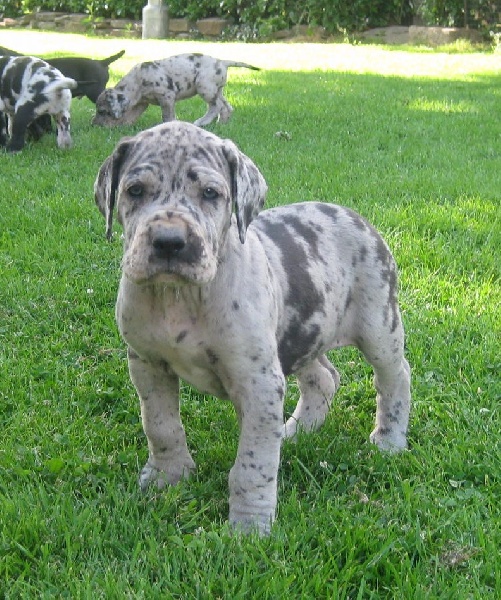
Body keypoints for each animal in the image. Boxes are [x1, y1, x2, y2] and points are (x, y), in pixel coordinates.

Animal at [92, 53, 259, 128]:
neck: (137, 81)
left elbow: (167, 116)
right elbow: (131, 115)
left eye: (102, 111)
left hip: (204, 86)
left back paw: (202, 122)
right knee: (226, 107)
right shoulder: (142, 103)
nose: (94, 125)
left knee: (215, 106)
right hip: (217, 91)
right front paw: (124, 125)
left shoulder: (166, 96)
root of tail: (222, 62)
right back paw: (221, 123)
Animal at [94, 122, 411, 534]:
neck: (180, 297)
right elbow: (160, 426)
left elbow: (253, 463)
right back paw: (296, 430)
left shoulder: (258, 381)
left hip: (377, 325)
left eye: (210, 193)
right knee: (323, 378)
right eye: (135, 190)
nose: (169, 243)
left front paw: (248, 527)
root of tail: (353, 215)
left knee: (395, 376)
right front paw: (168, 476)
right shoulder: (148, 365)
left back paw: (389, 440)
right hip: (297, 335)